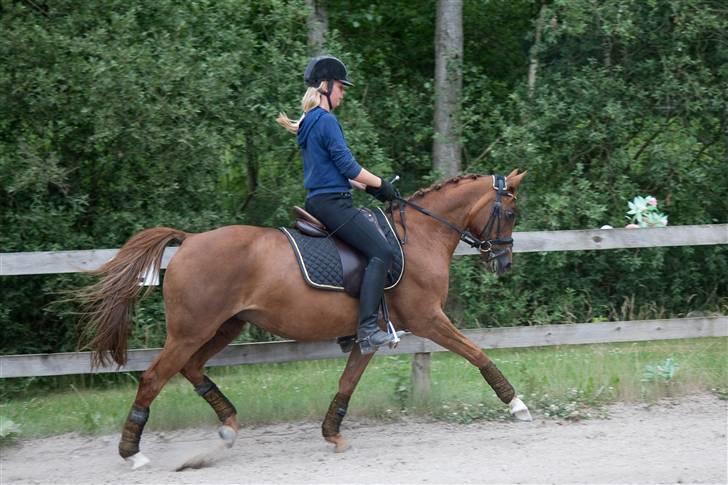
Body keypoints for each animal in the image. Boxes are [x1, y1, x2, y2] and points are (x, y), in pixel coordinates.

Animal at [77, 168, 528, 466]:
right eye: (509, 213)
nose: (505, 264)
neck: (419, 236)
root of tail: (189, 241)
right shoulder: (428, 319)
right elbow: (477, 353)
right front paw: (517, 404)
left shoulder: (372, 332)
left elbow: (348, 382)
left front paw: (333, 434)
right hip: (192, 330)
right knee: (155, 377)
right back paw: (132, 453)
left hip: (224, 326)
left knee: (191, 368)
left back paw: (228, 427)